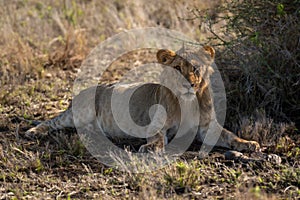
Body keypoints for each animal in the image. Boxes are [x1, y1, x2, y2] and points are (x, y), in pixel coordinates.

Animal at [25, 46, 260, 153]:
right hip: (82, 111)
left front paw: (249, 144)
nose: (189, 85)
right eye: (177, 68)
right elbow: (158, 138)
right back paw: (34, 131)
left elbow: (229, 136)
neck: (188, 102)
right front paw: (150, 148)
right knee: (53, 121)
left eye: (195, 68)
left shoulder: (206, 126)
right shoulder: (157, 125)